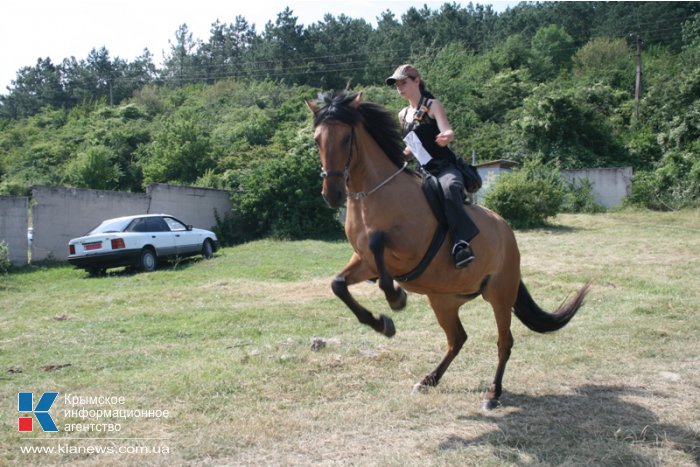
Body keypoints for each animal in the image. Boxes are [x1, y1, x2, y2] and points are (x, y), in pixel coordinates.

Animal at [308, 92, 588, 410]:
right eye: (317, 139)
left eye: (346, 138)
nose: (332, 195)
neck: (375, 195)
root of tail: (506, 230)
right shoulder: (364, 261)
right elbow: (338, 284)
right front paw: (383, 324)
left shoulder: (407, 251)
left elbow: (379, 247)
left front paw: (396, 298)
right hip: (444, 300)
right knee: (457, 338)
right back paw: (428, 379)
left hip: (500, 295)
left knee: (504, 342)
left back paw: (493, 393)